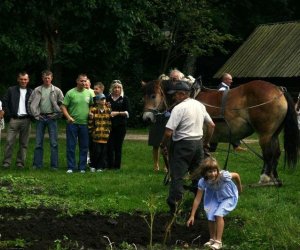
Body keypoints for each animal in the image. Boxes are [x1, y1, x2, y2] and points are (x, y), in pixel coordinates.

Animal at [142, 79, 298, 184]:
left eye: (153, 95)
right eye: (143, 96)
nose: (146, 117)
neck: (191, 97)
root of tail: (279, 90)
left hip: (265, 134)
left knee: (268, 155)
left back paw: (264, 177)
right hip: (274, 134)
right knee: (276, 153)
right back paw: (274, 178)